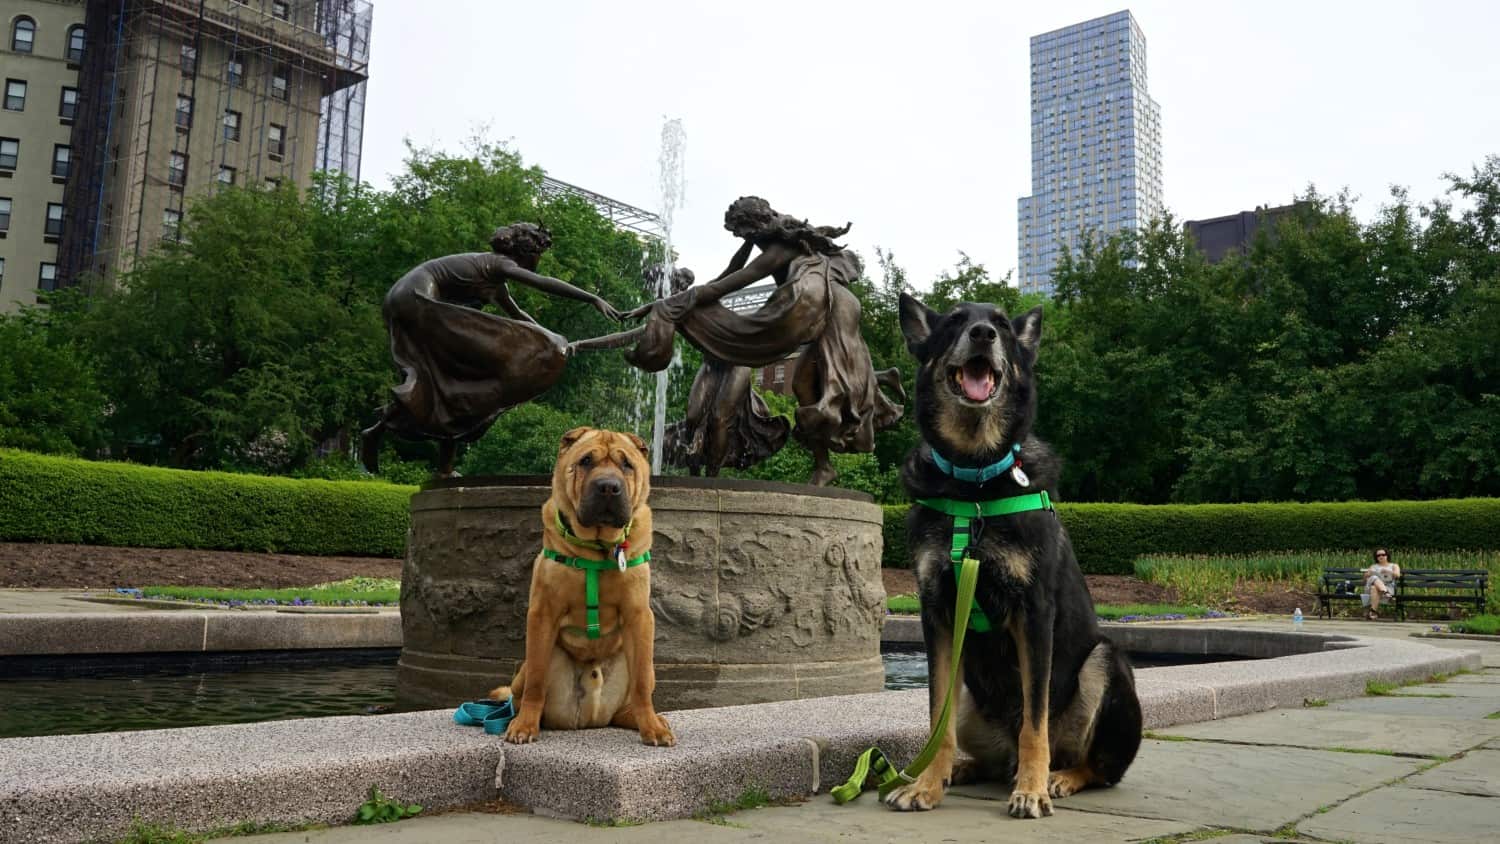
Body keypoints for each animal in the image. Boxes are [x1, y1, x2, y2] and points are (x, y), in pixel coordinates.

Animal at [882, 295, 1140, 821]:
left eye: (1000, 324)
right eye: (954, 321)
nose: (982, 334)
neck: (975, 480)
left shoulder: (1034, 614)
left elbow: (1034, 724)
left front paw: (1033, 790)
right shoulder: (937, 615)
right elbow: (936, 719)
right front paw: (927, 785)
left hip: (1106, 662)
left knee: (1096, 765)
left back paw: (1058, 777)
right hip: (969, 697)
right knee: (985, 753)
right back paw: (960, 771)